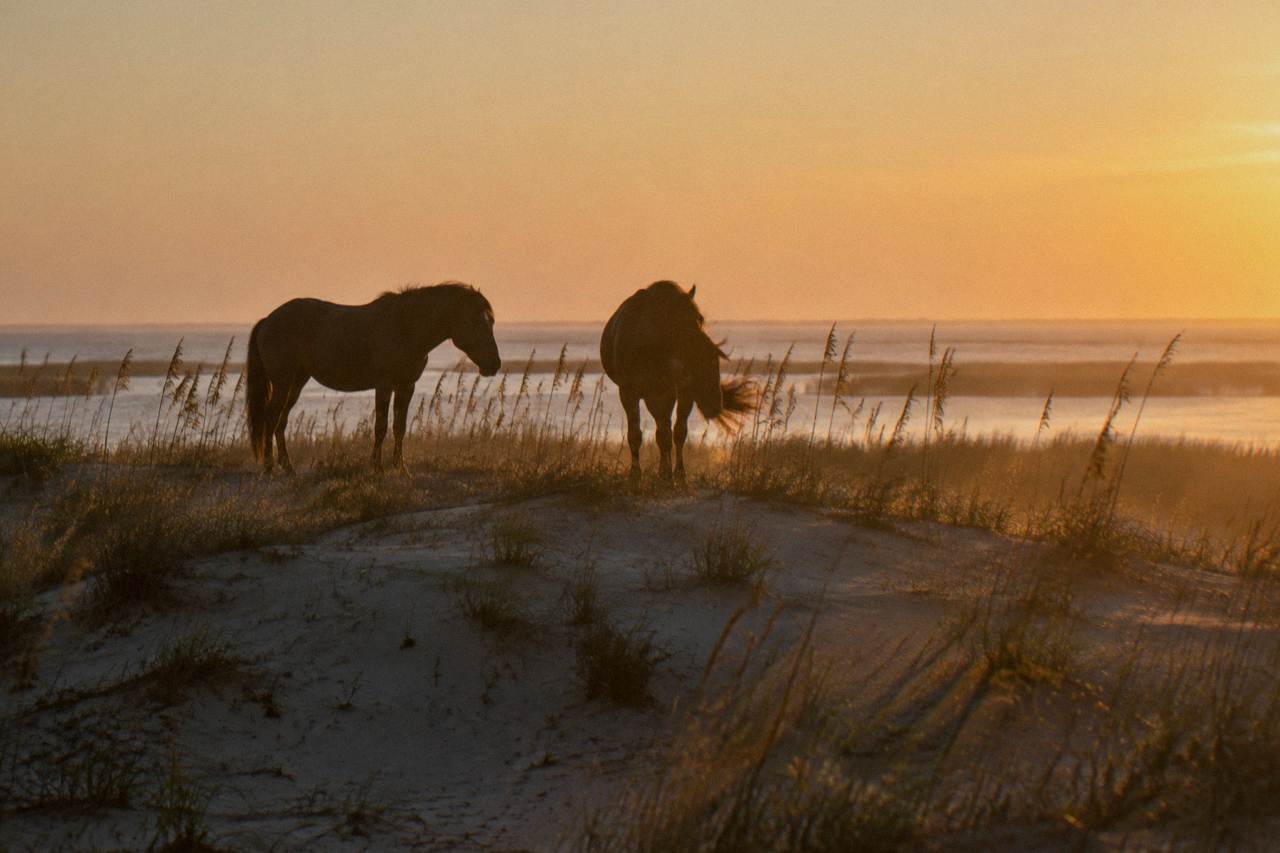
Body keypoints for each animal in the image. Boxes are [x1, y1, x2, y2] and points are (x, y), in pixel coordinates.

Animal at [246, 282, 500, 474]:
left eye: (491, 321)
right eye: (475, 321)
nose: (494, 365)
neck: (405, 327)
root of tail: (268, 320)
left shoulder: (406, 385)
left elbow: (399, 426)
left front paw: (401, 468)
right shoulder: (384, 385)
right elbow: (381, 426)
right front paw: (377, 468)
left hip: (296, 382)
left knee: (280, 421)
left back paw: (287, 467)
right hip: (283, 382)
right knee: (270, 418)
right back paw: (269, 468)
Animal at [600, 281, 754, 481]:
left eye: (700, 319)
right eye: (678, 322)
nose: (714, 402)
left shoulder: (672, 392)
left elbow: (673, 434)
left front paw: (673, 476)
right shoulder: (628, 392)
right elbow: (635, 435)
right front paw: (635, 476)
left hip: (671, 395)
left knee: (670, 431)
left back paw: (671, 473)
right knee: (662, 430)